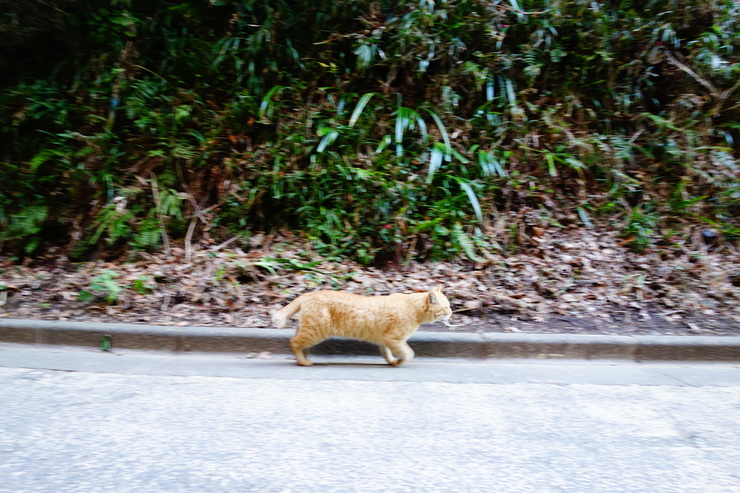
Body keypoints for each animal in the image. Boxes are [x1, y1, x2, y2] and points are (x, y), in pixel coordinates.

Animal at [274, 286, 454, 364]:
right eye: (446, 307)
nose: (452, 312)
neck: (413, 308)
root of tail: (308, 294)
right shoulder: (394, 339)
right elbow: (408, 353)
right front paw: (401, 361)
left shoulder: (385, 339)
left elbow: (387, 353)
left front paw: (392, 362)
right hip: (315, 331)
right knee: (294, 342)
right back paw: (303, 361)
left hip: (309, 329)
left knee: (298, 340)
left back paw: (305, 358)